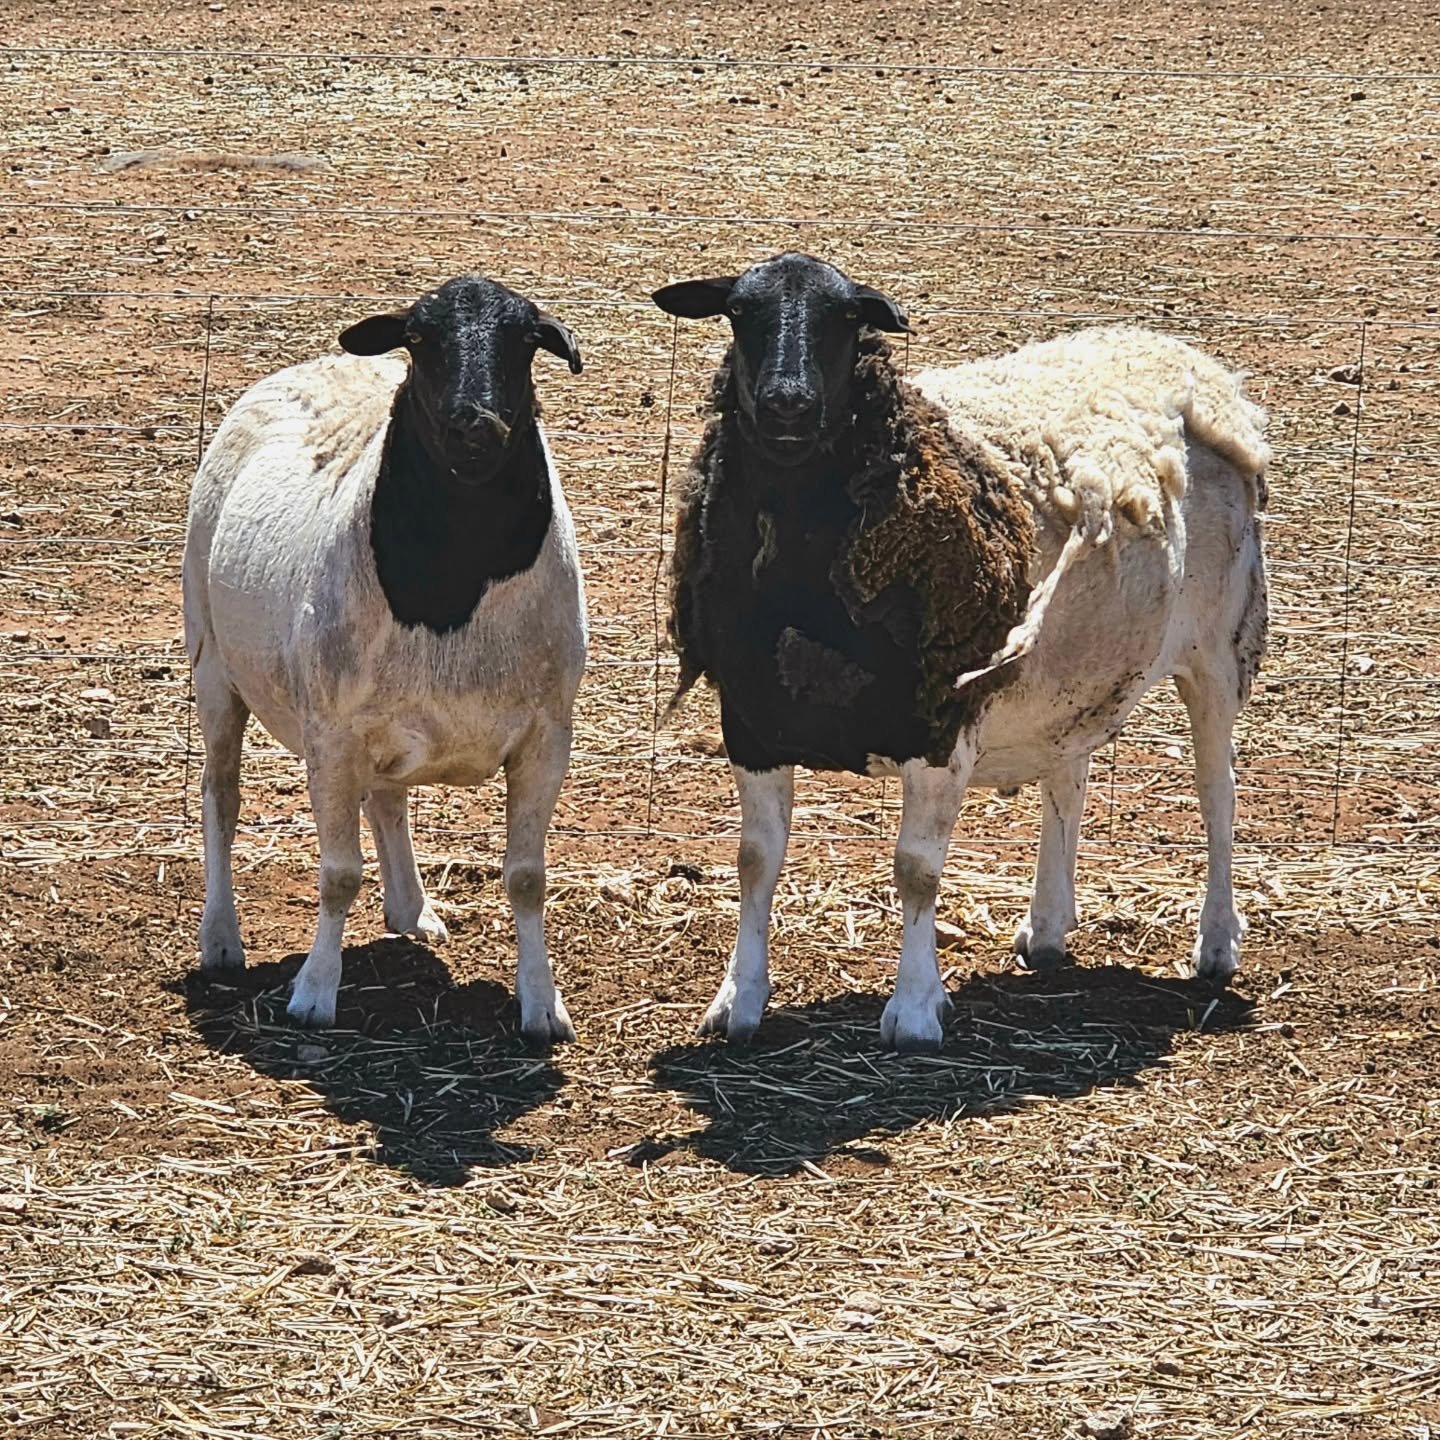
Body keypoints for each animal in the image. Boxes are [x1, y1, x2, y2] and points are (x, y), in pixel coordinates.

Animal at [182, 273, 587, 1041]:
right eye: (420, 338)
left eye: (526, 339)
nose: (474, 426)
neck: (456, 583)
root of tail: (317, 363)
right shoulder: (332, 734)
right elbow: (338, 874)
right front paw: (315, 992)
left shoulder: (547, 734)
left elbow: (527, 878)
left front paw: (543, 1005)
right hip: (213, 664)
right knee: (221, 795)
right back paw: (221, 938)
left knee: (388, 795)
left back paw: (411, 909)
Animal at [653, 251, 1269, 1053]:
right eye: (738, 312)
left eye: (846, 317)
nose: (787, 404)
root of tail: (1184, 358)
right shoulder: (754, 720)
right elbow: (755, 861)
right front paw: (738, 1001)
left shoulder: (939, 724)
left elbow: (916, 870)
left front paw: (915, 1010)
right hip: (1074, 664)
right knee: (1068, 779)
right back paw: (1047, 928)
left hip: (1218, 648)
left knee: (1217, 790)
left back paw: (1218, 941)